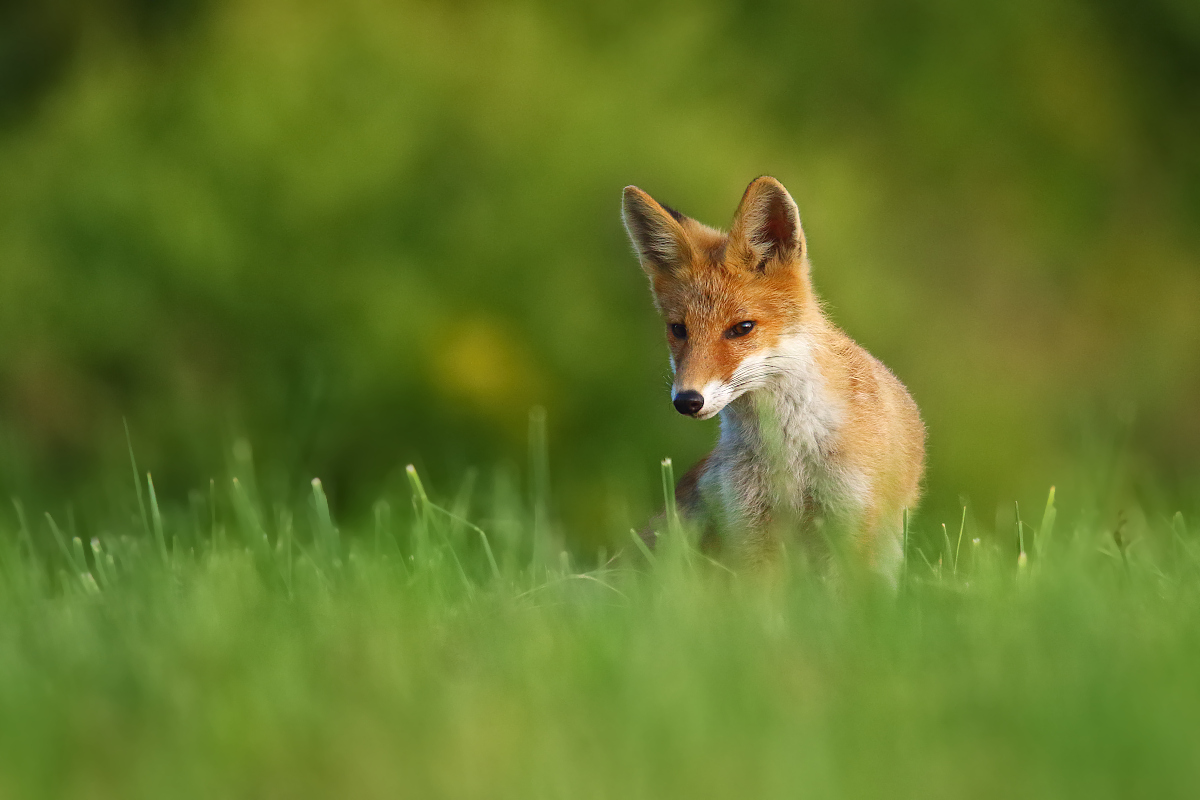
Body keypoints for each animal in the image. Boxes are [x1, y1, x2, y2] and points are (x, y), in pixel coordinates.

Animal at [624, 176, 921, 582]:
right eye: (678, 330)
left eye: (742, 328)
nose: (687, 400)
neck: (790, 451)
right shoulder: (751, 526)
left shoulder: (851, 522)